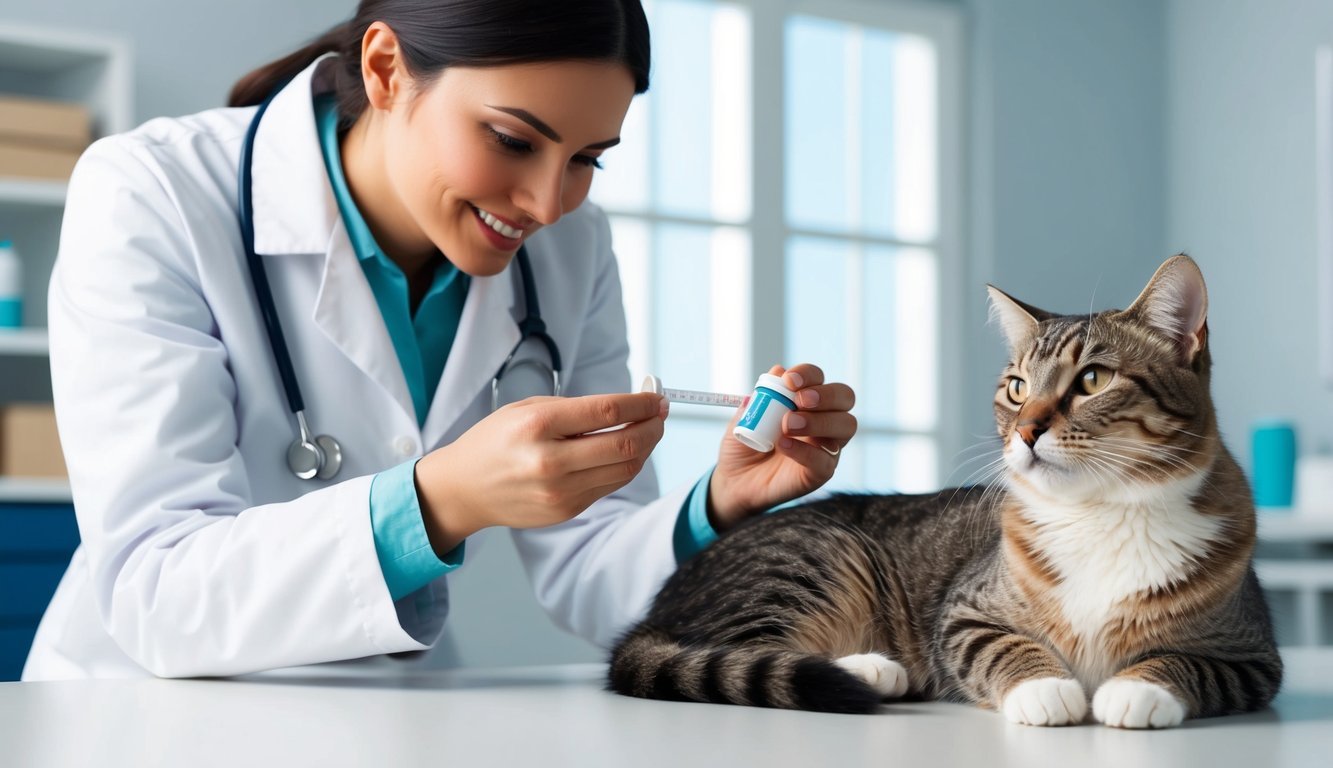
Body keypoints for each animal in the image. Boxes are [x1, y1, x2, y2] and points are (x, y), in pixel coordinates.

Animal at [610, 256, 1279, 725]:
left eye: (1093, 379)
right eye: (1016, 387)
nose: (1028, 430)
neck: (1103, 513)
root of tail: (657, 609)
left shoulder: (1252, 656)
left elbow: (1190, 664)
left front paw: (1137, 691)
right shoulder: (963, 613)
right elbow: (1000, 647)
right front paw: (1046, 689)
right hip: (814, 557)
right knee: (741, 648)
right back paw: (868, 669)